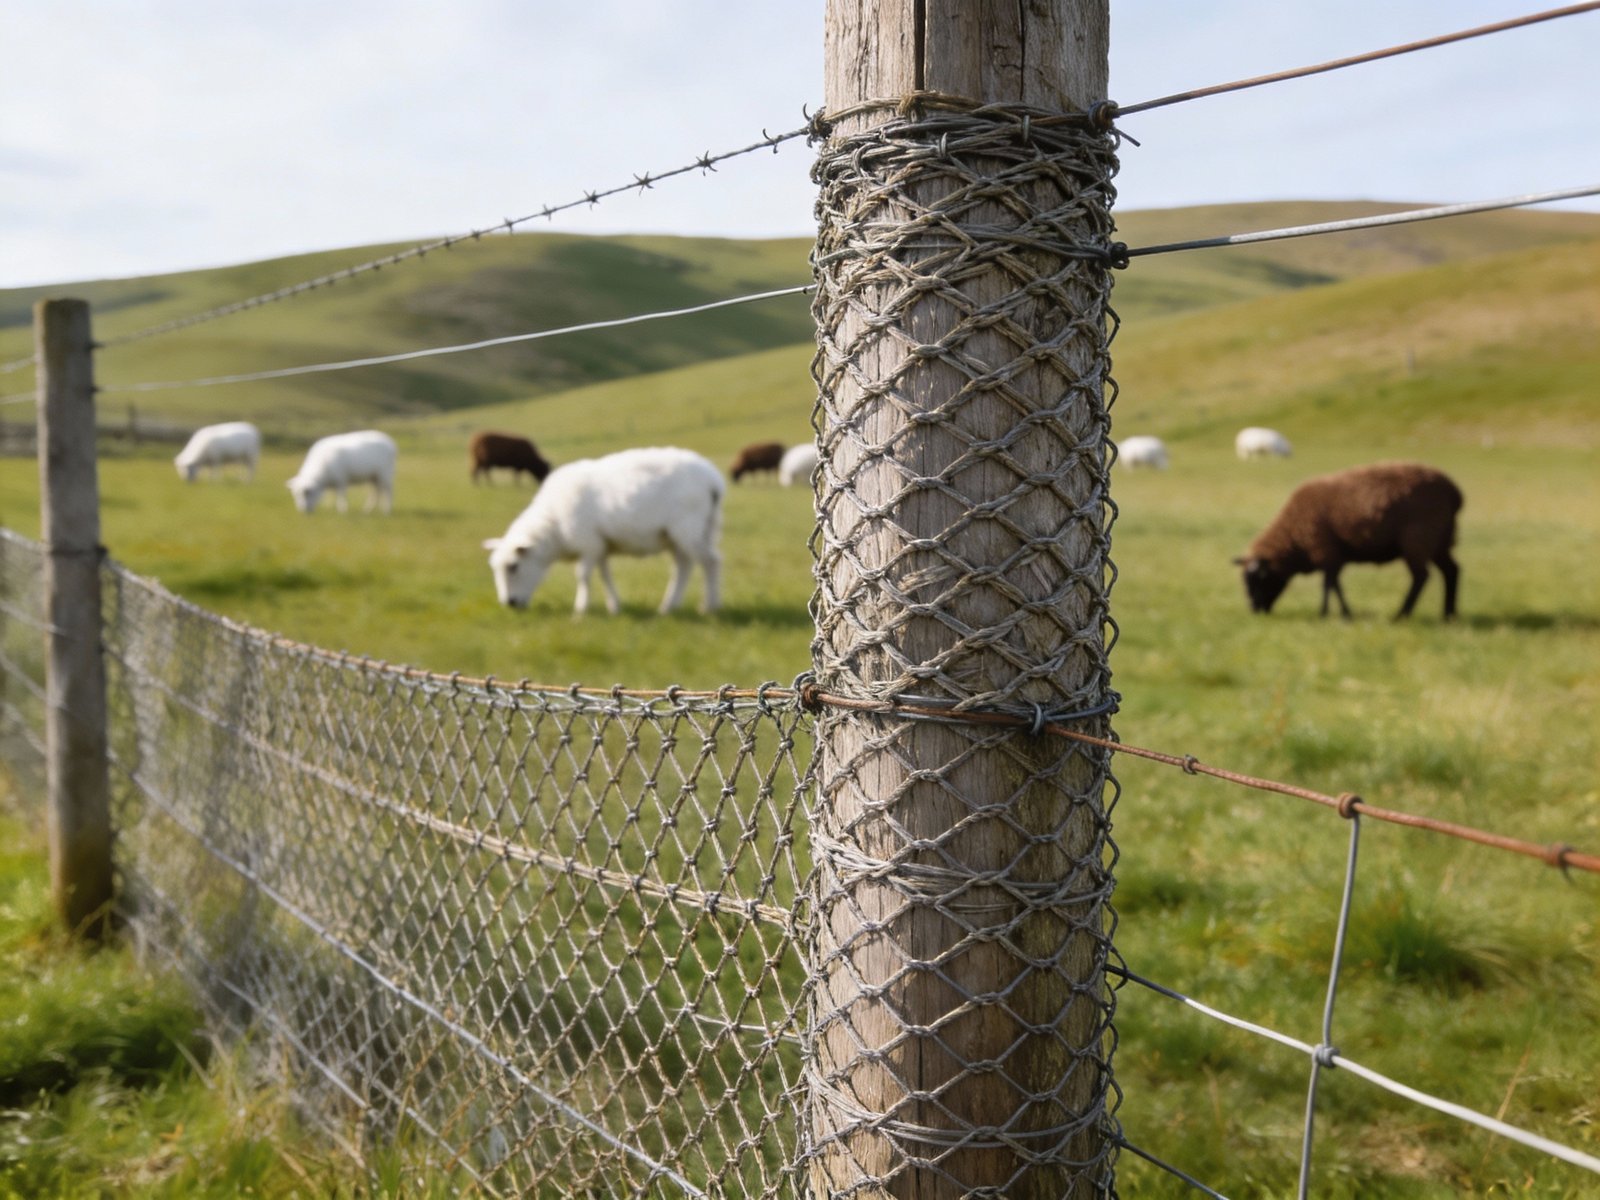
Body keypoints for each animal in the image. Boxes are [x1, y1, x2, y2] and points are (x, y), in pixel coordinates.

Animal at [483, 447, 723, 615]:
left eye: (513, 566)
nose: (510, 603)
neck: (554, 527)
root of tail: (713, 479)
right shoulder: (600, 545)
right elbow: (604, 575)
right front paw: (614, 606)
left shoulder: (588, 542)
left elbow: (582, 575)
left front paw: (580, 609)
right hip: (688, 532)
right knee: (684, 567)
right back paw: (668, 607)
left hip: (688, 528)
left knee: (711, 562)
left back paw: (710, 607)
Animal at [1234, 462, 1462, 620]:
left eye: (1258, 579)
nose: (1253, 610)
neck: (1294, 535)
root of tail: (1454, 492)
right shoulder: (1334, 556)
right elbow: (1334, 584)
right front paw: (1341, 613)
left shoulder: (1325, 550)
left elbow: (1329, 585)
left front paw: (1327, 613)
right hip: (1440, 541)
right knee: (1451, 571)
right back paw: (1448, 615)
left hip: (1418, 539)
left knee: (1421, 577)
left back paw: (1402, 615)